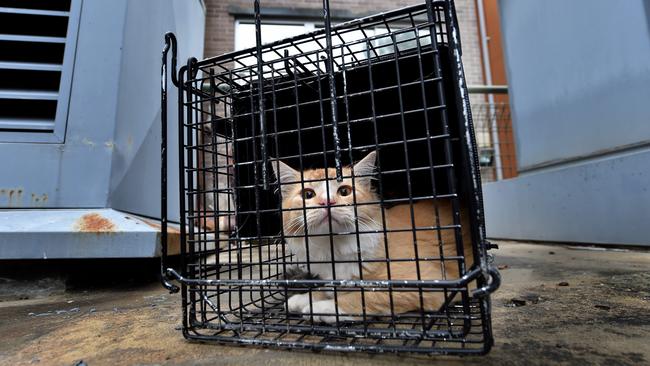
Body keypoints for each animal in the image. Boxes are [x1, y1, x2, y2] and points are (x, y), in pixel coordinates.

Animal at [270, 152, 470, 324]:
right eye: (308, 194)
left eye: (344, 191)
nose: (327, 202)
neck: (335, 247)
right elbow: (329, 288)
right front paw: (304, 298)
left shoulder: (427, 283)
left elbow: (366, 295)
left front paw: (323, 307)